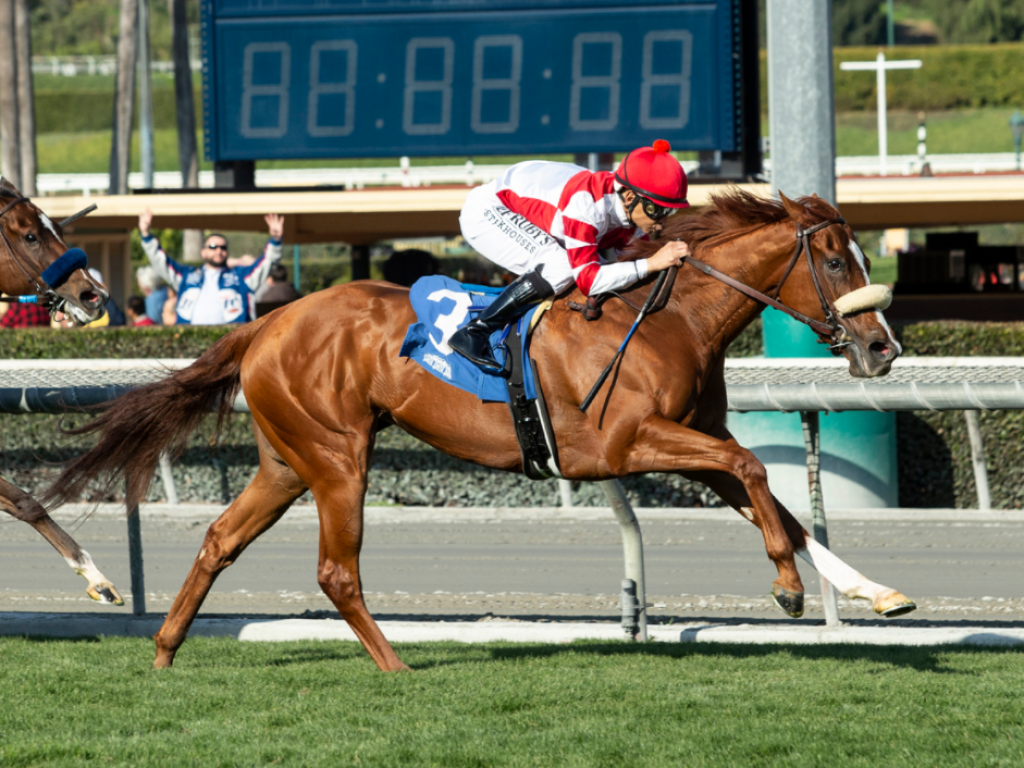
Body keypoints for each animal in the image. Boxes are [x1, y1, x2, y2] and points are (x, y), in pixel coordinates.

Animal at [44, 189, 917, 671]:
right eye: (835, 261)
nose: (884, 350)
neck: (668, 317)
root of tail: (269, 321)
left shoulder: (688, 443)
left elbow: (772, 498)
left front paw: (875, 592)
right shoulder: (624, 442)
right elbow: (756, 470)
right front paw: (787, 587)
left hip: (287, 461)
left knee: (221, 538)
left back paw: (165, 649)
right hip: (337, 457)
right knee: (336, 572)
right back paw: (394, 665)